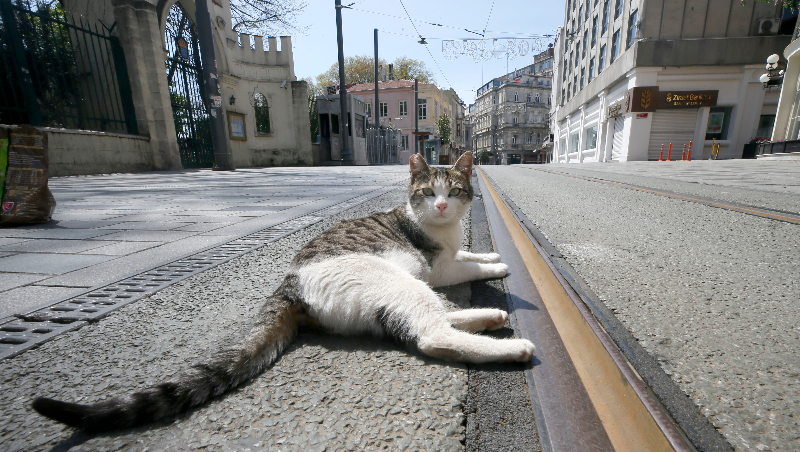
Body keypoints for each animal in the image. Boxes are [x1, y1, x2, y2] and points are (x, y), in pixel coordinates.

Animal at [34, 153, 536, 434]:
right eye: (427, 192)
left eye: (454, 191)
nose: (442, 206)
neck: (439, 230)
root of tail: (289, 282)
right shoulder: (439, 267)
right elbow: (463, 264)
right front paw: (499, 265)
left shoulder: (449, 253)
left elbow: (469, 251)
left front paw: (490, 255)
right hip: (400, 281)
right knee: (431, 332)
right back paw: (509, 344)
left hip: (397, 292)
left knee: (429, 320)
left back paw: (489, 317)